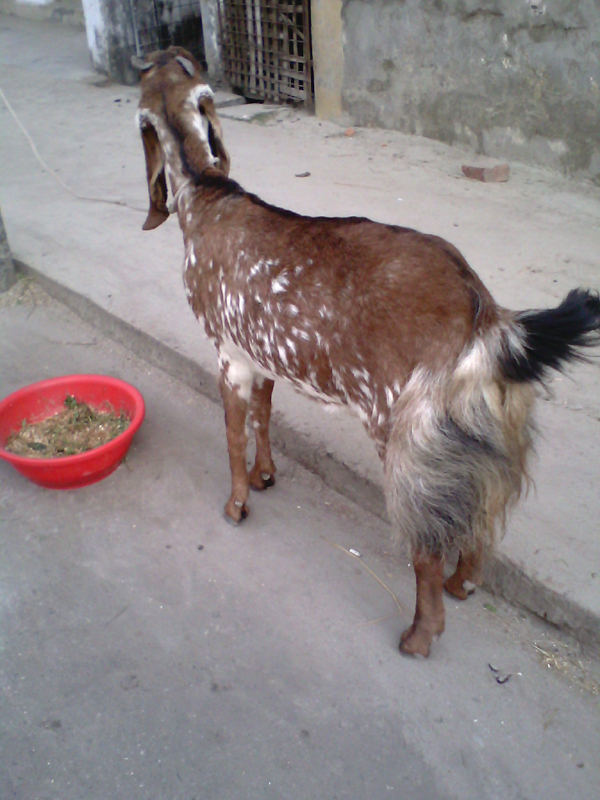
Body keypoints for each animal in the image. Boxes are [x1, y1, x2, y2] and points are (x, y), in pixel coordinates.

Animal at [133, 48, 600, 658]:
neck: (208, 194)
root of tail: (483, 317)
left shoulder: (229, 354)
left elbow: (233, 432)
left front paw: (236, 505)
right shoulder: (264, 356)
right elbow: (263, 415)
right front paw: (265, 476)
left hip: (405, 432)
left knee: (426, 541)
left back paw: (420, 635)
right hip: (493, 434)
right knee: (482, 518)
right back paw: (463, 584)